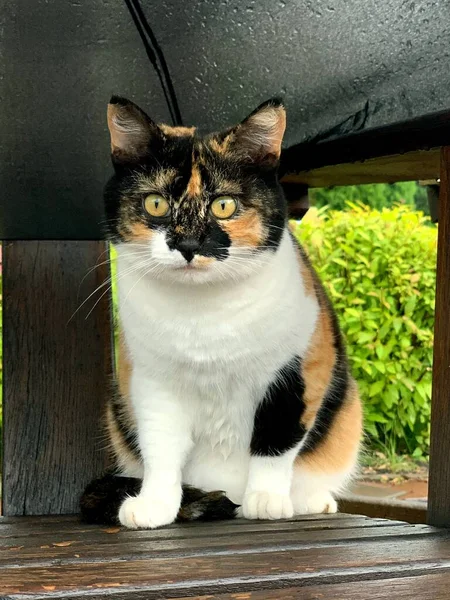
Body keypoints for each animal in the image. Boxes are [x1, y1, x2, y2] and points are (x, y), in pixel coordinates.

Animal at [80, 96, 362, 528]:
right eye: (156, 204)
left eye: (224, 206)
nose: (188, 244)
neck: (204, 317)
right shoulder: (150, 378)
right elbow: (160, 446)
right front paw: (155, 505)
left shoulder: (301, 367)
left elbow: (277, 438)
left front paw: (266, 500)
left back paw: (305, 501)